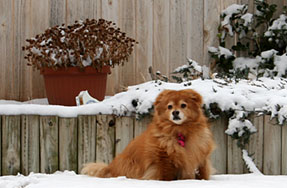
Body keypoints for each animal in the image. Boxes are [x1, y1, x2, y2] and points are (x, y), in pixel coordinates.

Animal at [82, 89, 215, 180]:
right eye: (169, 106)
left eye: (183, 105)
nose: (175, 112)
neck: (180, 131)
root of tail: (109, 168)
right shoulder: (163, 159)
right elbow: (165, 175)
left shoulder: (199, 155)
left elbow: (203, 172)